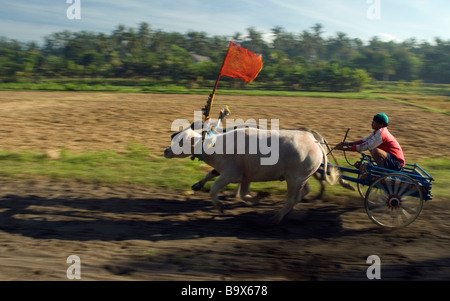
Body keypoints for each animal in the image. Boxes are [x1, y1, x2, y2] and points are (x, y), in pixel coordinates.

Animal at [164, 125, 338, 223]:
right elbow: (243, 194)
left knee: (292, 199)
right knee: (304, 192)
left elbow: (214, 189)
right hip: (302, 178)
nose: (165, 151)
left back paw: (276, 218)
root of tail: (315, 142)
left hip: (295, 178)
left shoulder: (231, 174)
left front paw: (220, 207)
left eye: (181, 141)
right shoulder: (246, 176)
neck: (214, 146)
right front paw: (258, 197)